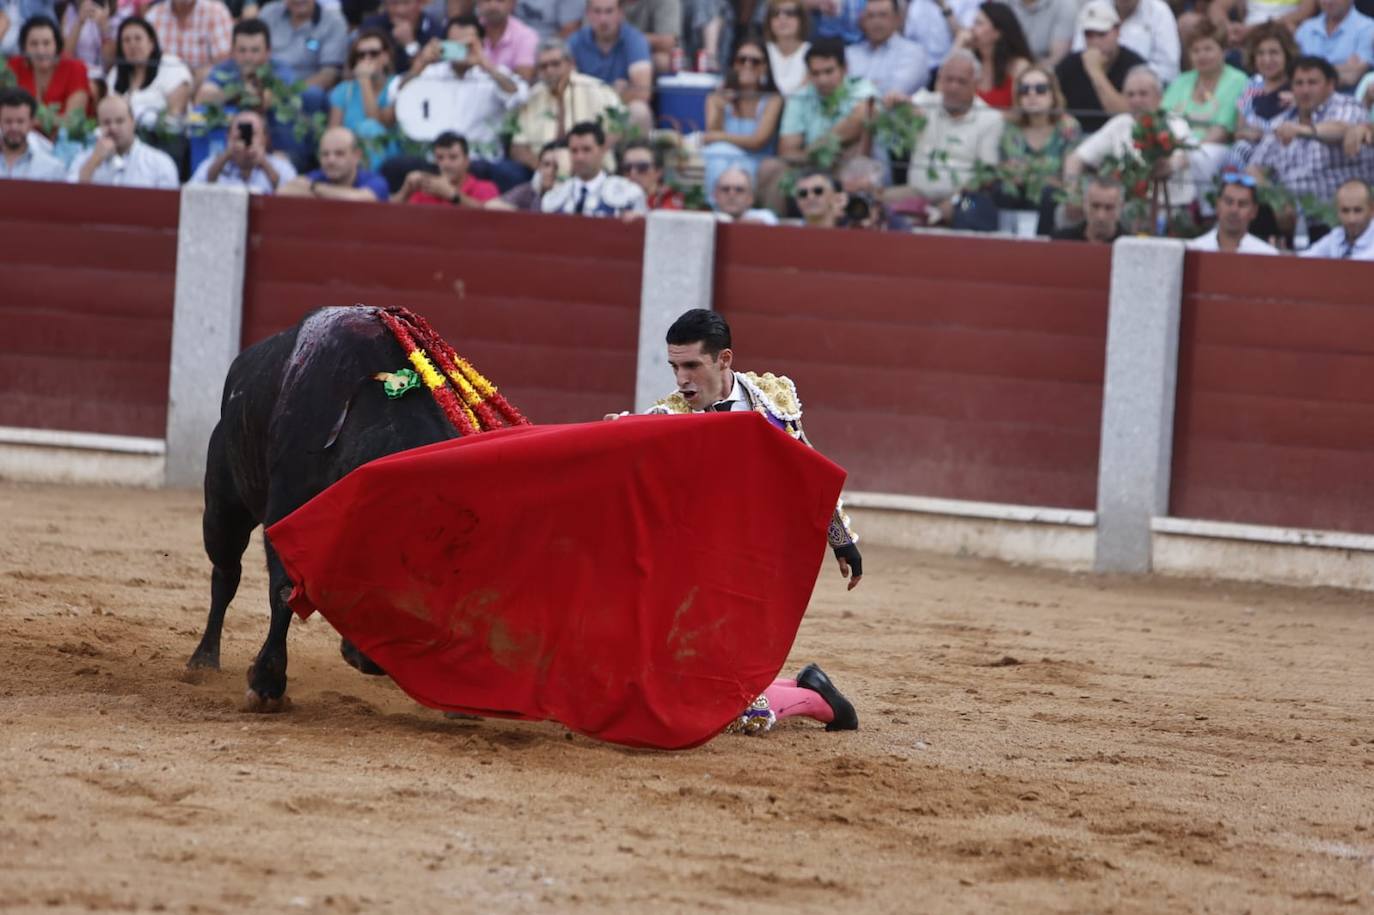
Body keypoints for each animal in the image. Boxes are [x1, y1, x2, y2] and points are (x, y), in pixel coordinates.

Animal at [186, 302, 461, 708]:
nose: (374, 661)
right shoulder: (285, 513)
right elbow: (284, 591)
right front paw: (265, 684)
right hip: (224, 509)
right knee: (226, 574)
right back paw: (203, 661)